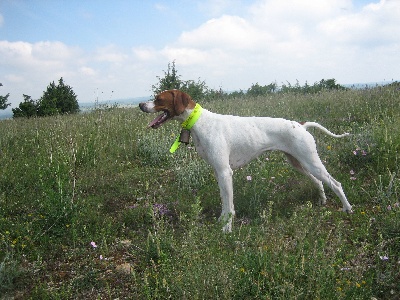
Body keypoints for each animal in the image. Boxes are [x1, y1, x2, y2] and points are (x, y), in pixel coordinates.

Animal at [139, 89, 352, 232]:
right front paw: (221, 222)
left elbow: (229, 206)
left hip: (311, 163)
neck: (200, 122)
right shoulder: (219, 173)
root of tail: (301, 125)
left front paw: (226, 229)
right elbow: (225, 203)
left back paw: (347, 208)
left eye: (159, 99)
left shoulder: (225, 172)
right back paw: (322, 201)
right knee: (319, 182)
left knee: (336, 183)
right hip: (299, 163)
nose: (141, 105)